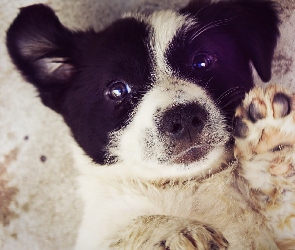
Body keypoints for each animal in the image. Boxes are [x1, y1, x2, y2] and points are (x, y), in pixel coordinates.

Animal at [5, 0, 282, 249]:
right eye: (117, 90)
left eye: (202, 61)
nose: (183, 118)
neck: (186, 185)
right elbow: (136, 225)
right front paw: (176, 230)